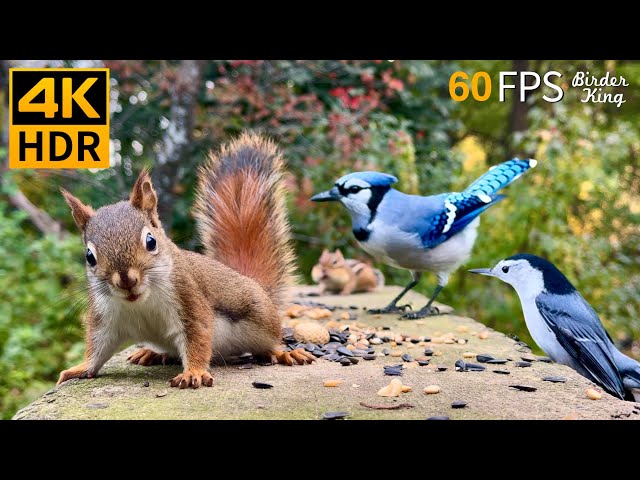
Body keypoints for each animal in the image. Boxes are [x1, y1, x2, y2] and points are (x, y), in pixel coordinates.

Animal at [57, 132, 315, 389]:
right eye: (89, 257)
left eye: (151, 241)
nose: (126, 281)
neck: (140, 302)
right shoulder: (106, 317)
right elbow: (98, 348)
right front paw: (80, 368)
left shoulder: (189, 298)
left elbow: (197, 336)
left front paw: (194, 372)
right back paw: (153, 353)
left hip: (262, 320)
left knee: (269, 344)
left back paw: (284, 353)